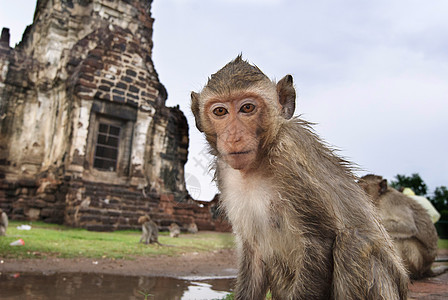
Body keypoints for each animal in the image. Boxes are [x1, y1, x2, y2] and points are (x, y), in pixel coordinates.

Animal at [190, 55, 410, 298]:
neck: (257, 164)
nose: (233, 136)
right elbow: (254, 253)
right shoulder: (225, 172)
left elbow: (318, 241)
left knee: (353, 242)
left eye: (247, 108)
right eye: (220, 112)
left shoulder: (290, 160)